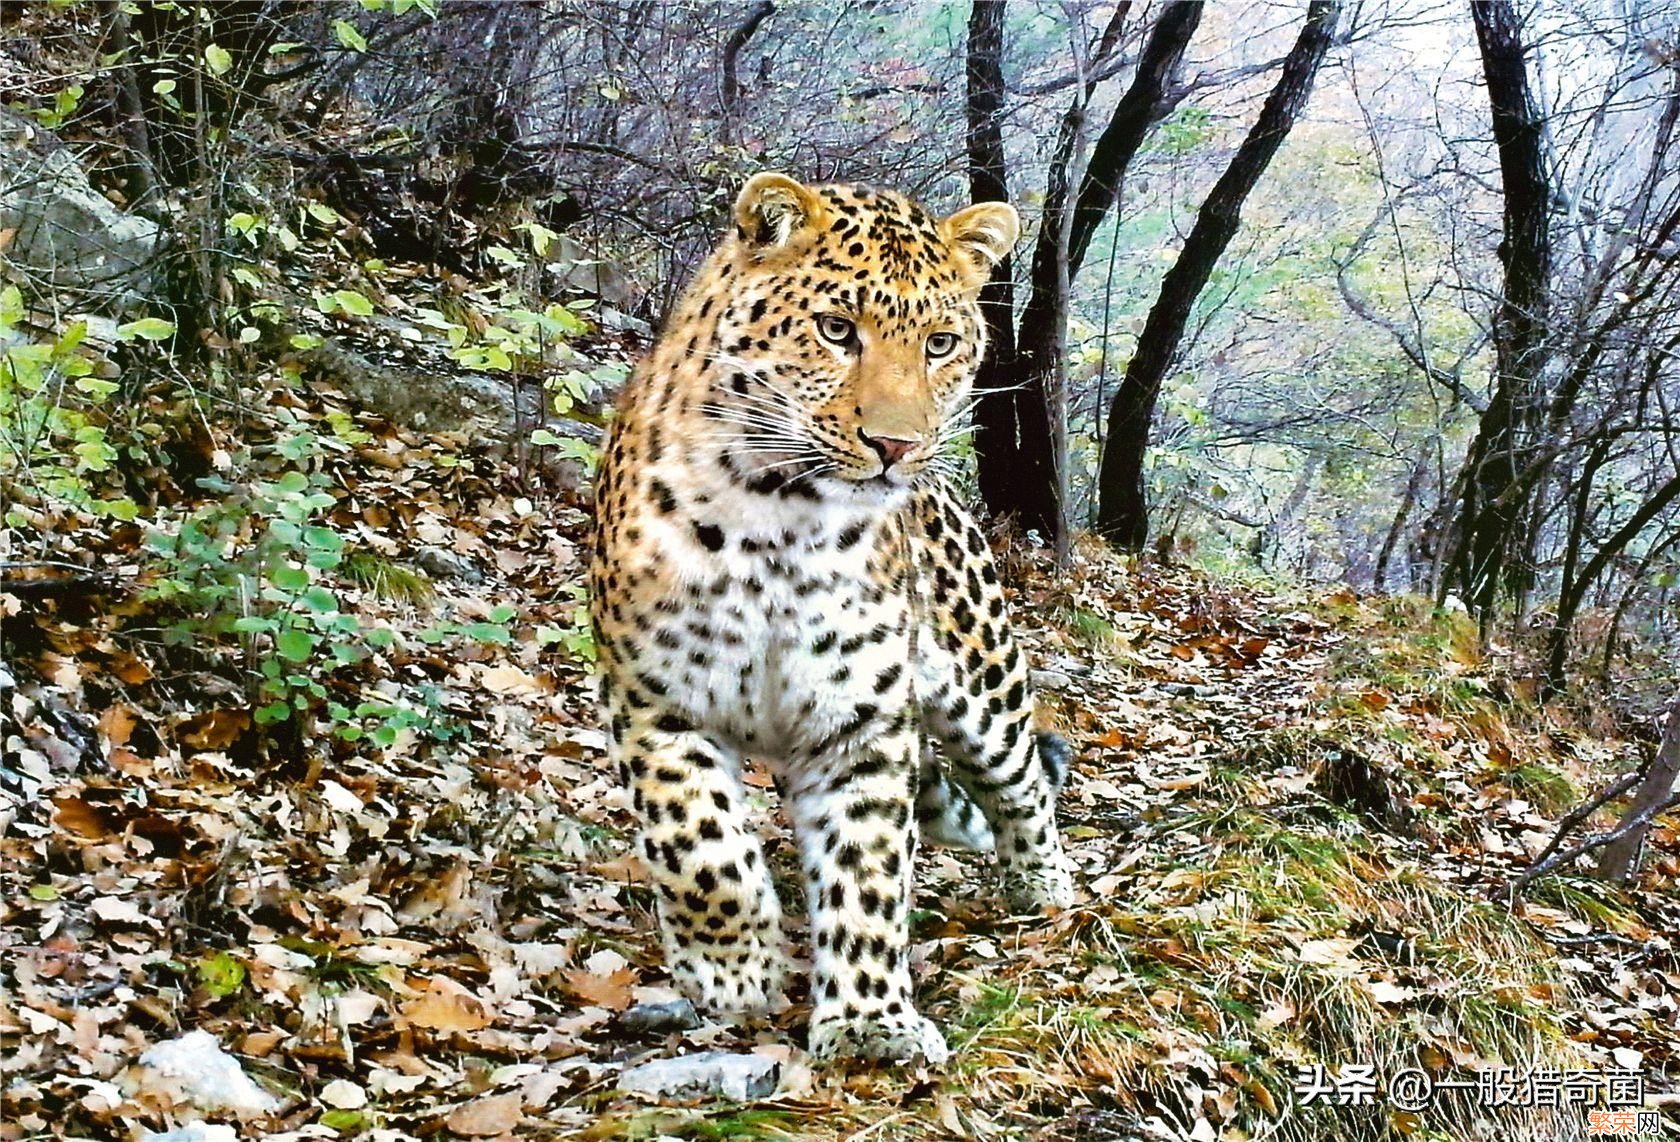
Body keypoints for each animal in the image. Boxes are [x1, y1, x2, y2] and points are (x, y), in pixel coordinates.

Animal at [591, 172, 1075, 1061]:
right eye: (836, 330)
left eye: (941, 344)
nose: (897, 446)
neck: (776, 524)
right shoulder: (654, 702)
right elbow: (702, 851)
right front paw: (730, 971)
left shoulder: (863, 724)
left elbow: (868, 871)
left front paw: (869, 1021)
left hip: (983, 675)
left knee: (1023, 781)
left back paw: (1044, 885)